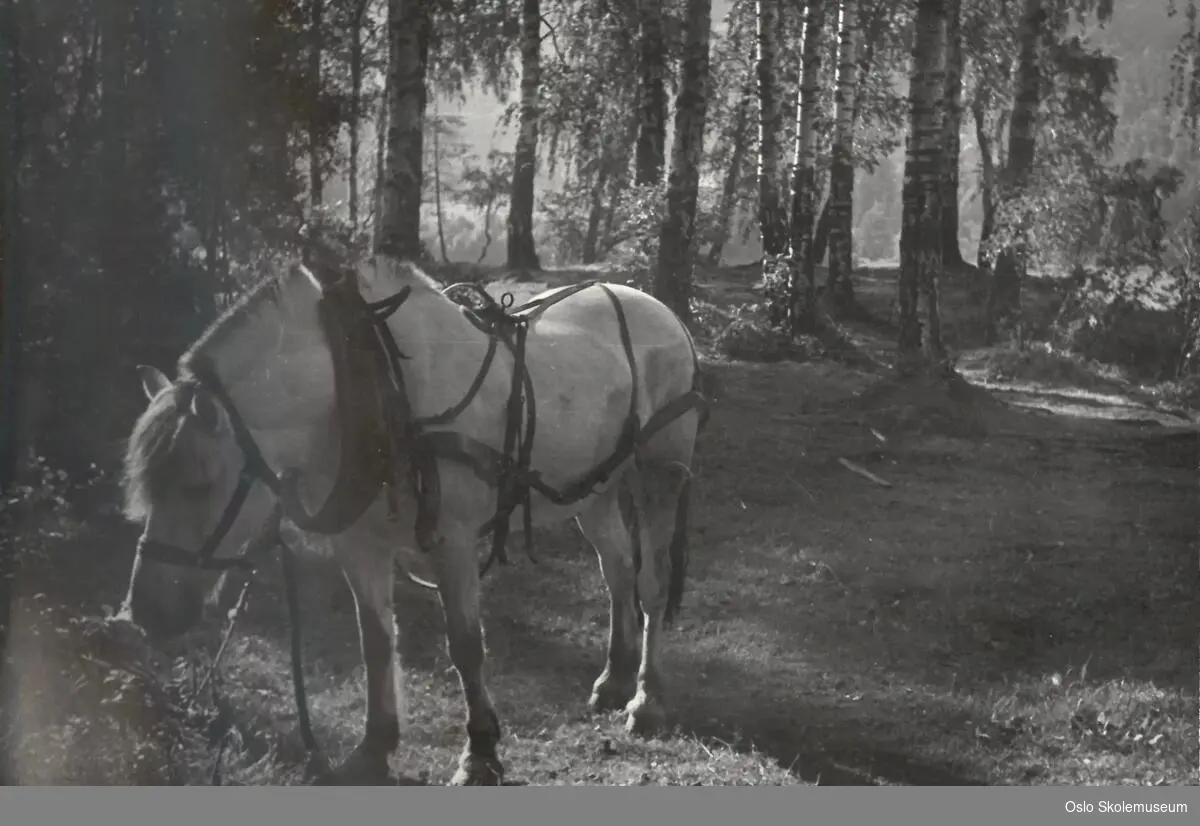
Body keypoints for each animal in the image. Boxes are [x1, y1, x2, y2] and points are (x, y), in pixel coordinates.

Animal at [117, 253, 705, 787]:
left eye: (200, 485)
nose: (145, 611)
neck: (369, 389)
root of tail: (664, 313)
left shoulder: (454, 541)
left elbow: (465, 645)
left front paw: (481, 753)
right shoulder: (359, 545)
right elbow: (376, 641)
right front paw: (374, 747)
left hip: (660, 476)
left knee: (650, 584)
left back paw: (646, 698)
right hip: (595, 491)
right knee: (618, 571)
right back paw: (615, 676)